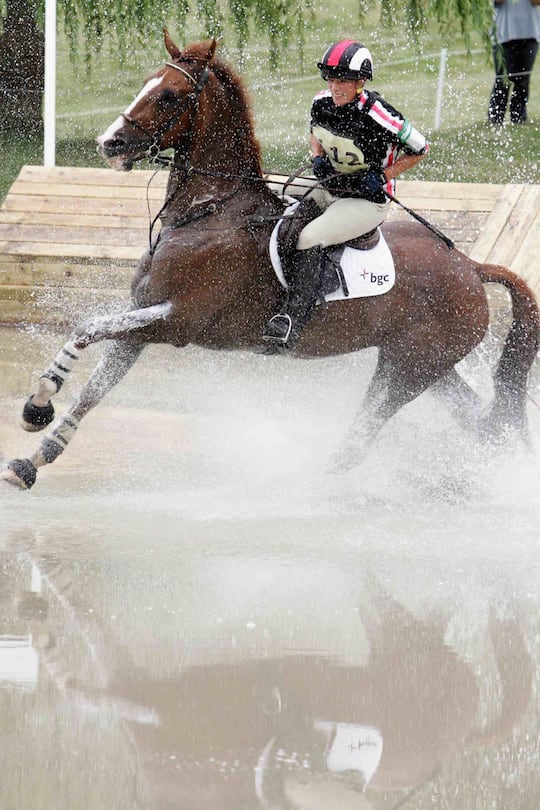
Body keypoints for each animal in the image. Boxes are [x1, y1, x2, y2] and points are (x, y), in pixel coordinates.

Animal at [2, 30, 539, 490]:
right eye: (147, 83)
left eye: (170, 95)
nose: (109, 143)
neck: (208, 210)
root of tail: (471, 267)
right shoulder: (142, 322)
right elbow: (93, 387)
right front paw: (33, 456)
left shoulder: (177, 321)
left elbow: (85, 328)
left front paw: (37, 406)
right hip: (425, 365)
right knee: (481, 424)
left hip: (408, 370)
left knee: (364, 436)